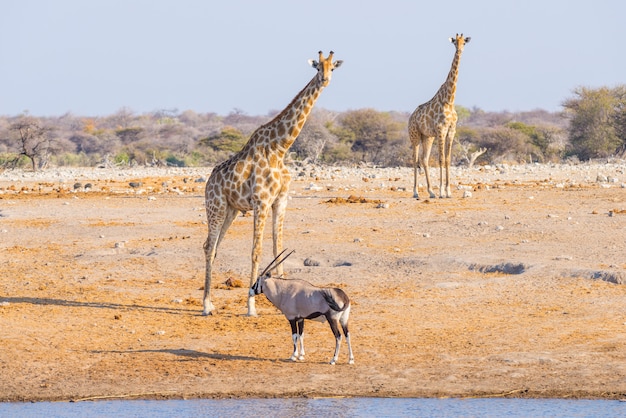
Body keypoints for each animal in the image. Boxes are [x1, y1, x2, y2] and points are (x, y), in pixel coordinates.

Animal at [201, 50, 342, 316]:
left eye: (332, 68)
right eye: (318, 67)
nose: (325, 80)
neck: (280, 148)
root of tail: (208, 182)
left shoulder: (281, 200)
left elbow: (278, 247)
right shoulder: (262, 201)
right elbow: (256, 251)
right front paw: (251, 307)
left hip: (231, 210)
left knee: (212, 248)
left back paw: (210, 303)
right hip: (216, 206)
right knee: (209, 247)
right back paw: (205, 305)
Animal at [410, 32, 468, 199]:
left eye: (464, 42)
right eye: (455, 42)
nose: (460, 50)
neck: (449, 100)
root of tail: (410, 117)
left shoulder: (451, 130)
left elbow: (448, 159)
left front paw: (448, 191)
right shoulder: (441, 130)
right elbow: (441, 159)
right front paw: (442, 191)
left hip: (427, 137)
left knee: (424, 159)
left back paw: (431, 192)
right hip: (415, 135)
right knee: (414, 159)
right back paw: (415, 192)